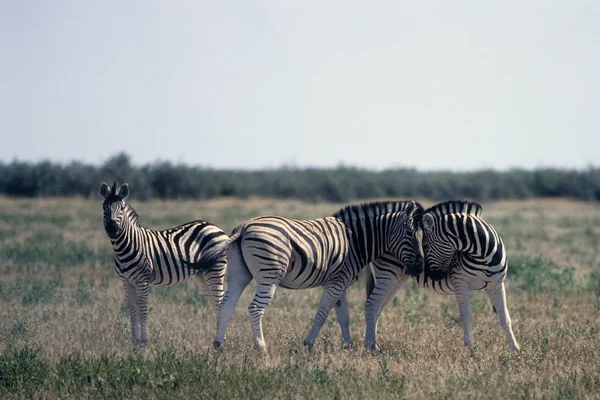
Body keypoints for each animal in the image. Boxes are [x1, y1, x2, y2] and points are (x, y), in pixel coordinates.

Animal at [99, 182, 229, 346]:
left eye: (121, 208)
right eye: (104, 207)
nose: (112, 228)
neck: (127, 246)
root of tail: (215, 226)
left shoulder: (142, 281)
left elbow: (142, 309)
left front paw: (144, 342)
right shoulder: (127, 282)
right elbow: (132, 311)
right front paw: (134, 342)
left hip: (215, 270)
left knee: (221, 303)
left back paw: (221, 342)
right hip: (203, 274)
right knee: (215, 303)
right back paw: (218, 340)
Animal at [195, 200, 424, 354]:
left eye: (424, 235)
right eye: (410, 235)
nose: (420, 266)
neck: (356, 239)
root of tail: (244, 226)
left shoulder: (339, 282)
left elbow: (343, 316)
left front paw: (347, 345)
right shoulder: (337, 282)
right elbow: (322, 313)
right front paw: (309, 344)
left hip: (239, 275)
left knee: (227, 304)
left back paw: (218, 345)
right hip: (269, 275)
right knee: (255, 308)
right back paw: (261, 347)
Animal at [364, 202, 516, 354]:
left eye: (425, 245)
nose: (433, 276)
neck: (483, 256)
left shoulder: (496, 284)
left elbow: (505, 317)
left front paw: (515, 350)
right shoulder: (460, 284)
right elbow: (466, 317)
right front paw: (470, 351)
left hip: (398, 279)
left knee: (379, 307)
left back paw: (372, 344)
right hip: (389, 272)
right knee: (372, 303)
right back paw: (369, 347)